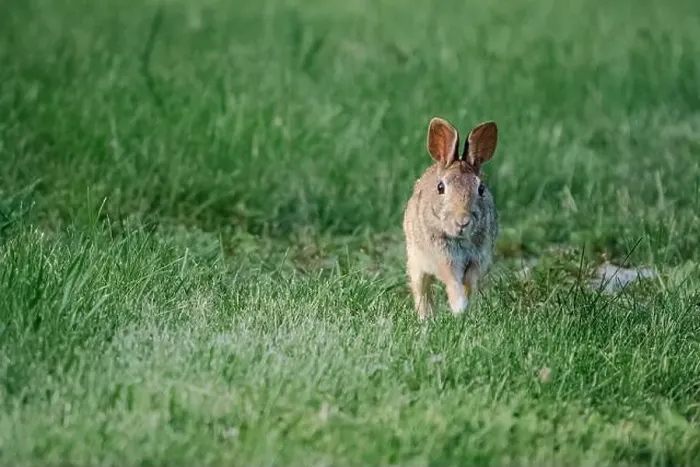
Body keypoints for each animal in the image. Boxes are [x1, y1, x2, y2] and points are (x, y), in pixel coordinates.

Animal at [402, 116, 499, 320]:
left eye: (481, 189)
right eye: (441, 187)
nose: (462, 221)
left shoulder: (478, 259)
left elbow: (469, 282)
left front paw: (465, 308)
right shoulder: (443, 257)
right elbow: (452, 281)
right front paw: (459, 307)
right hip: (416, 260)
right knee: (421, 289)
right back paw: (426, 318)